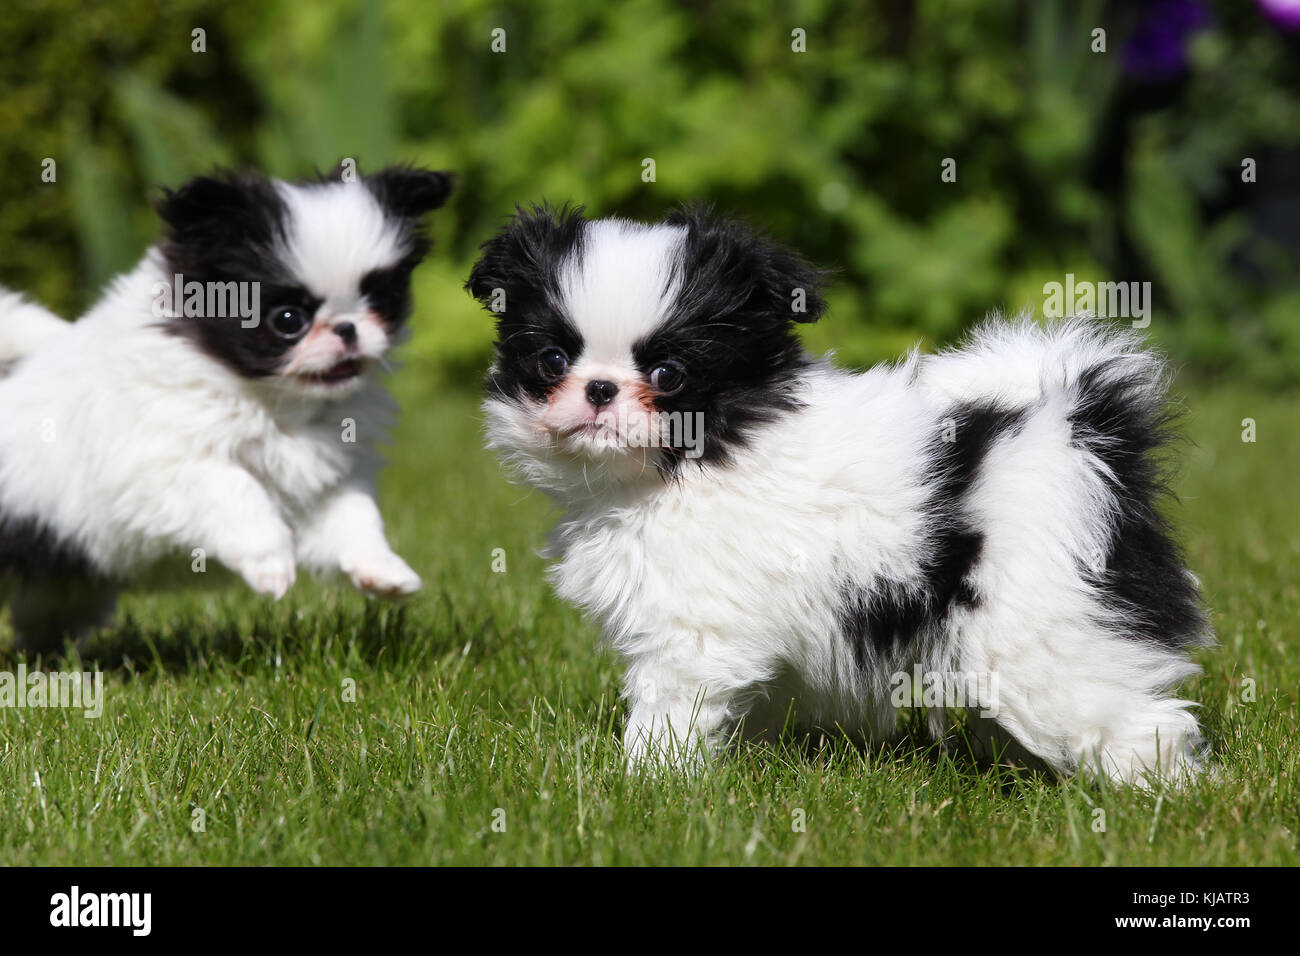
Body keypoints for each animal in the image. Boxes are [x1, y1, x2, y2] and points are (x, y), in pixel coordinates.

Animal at [1, 167, 452, 655]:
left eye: (381, 302)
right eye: (288, 320)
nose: (348, 328)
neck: (273, 403)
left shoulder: (327, 478)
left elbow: (355, 520)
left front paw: (384, 571)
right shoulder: (162, 463)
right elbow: (237, 489)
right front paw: (271, 564)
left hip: (64, 584)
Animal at [473, 201, 1211, 785]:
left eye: (669, 374)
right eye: (551, 362)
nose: (599, 389)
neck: (701, 459)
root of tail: (1083, 426)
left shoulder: (692, 629)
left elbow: (668, 705)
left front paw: (641, 779)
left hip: (1042, 636)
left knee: (1131, 718)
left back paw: (1165, 797)